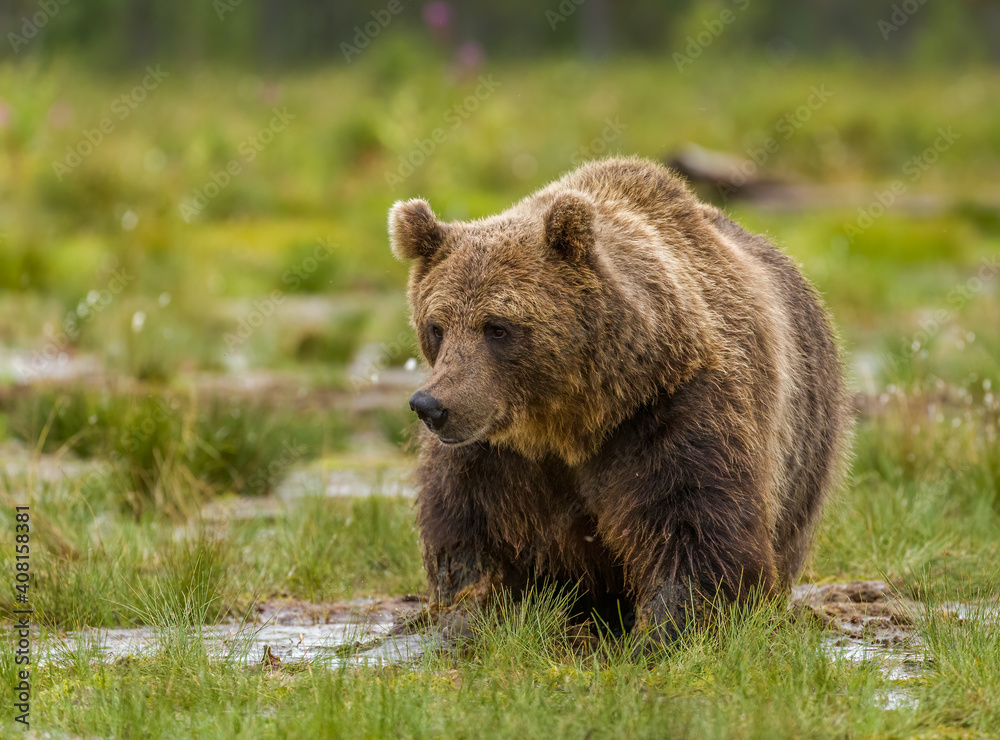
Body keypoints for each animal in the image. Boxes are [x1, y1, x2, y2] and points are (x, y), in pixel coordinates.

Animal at [386, 158, 848, 640]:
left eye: (497, 327)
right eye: (437, 326)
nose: (432, 406)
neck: (570, 418)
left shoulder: (673, 408)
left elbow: (694, 523)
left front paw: (668, 628)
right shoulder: (492, 454)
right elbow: (468, 528)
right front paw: (468, 609)